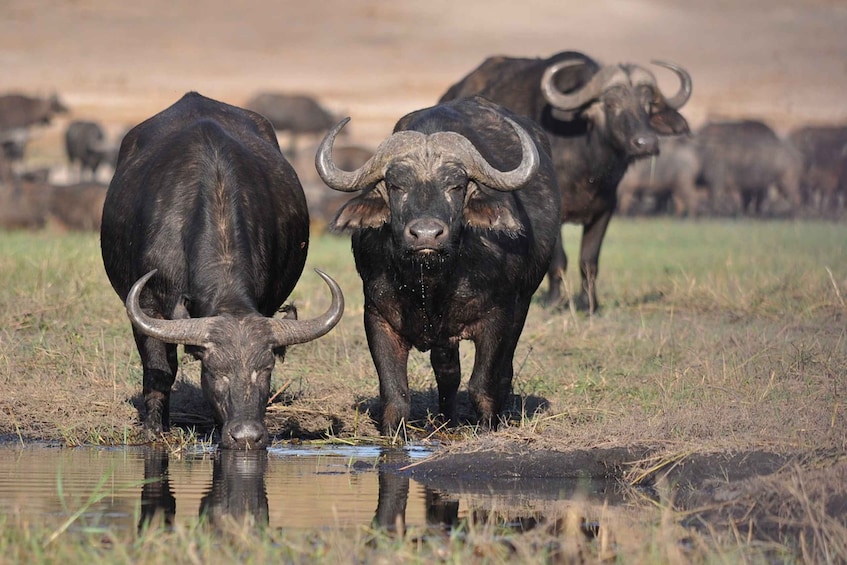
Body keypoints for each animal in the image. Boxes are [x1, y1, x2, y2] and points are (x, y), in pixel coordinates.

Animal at [102, 90, 344, 448]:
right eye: (215, 372)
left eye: (265, 370)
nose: (247, 435)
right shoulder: (146, 306)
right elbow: (160, 368)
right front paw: (154, 429)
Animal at [318, 97, 564, 434]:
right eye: (396, 186)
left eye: (456, 186)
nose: (426, 234)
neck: (432, 281)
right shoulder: (378, 317)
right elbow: (395, 392)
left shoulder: (499, 317)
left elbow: (483, 384)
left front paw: (487, 427)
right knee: (447, 372)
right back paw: (448, 421)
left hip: (522, 304)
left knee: (502, 370)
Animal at [440, 50, 692, 310]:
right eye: (611, 104)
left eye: (648, 105)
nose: (646, 142)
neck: (588, 163)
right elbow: (558, 261)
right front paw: (554, 301)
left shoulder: (605, 209)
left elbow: (589, 261)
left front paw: (590, 304)